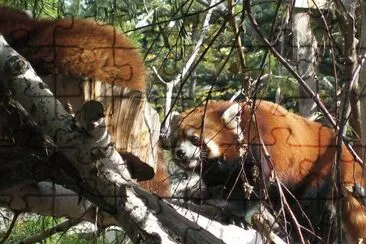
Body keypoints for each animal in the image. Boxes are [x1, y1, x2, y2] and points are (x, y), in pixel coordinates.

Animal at [165, 100, 366, 243]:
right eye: (175, 141)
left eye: (195, 139)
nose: (180, 152)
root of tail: (343, 148)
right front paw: (203, 195)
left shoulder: (260, 148)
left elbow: (251, 190)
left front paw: (233, 214)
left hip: (320, 170)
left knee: (305, 207)